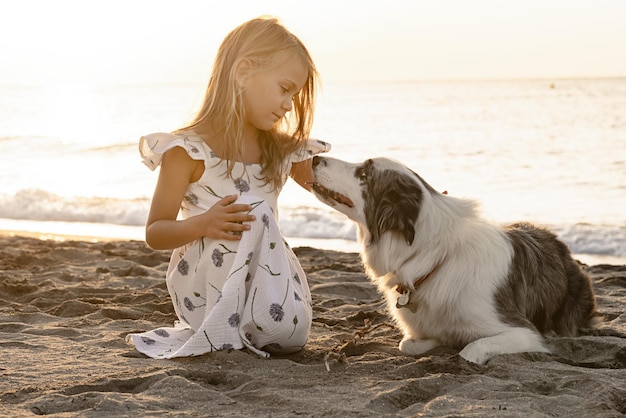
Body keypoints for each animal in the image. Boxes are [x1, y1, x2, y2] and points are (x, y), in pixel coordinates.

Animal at [310, 155, 596, 364]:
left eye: (364, 174)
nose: (314, 158)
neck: (433, 261)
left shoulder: (524, 333)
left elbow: (469, 351)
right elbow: (409, 343)